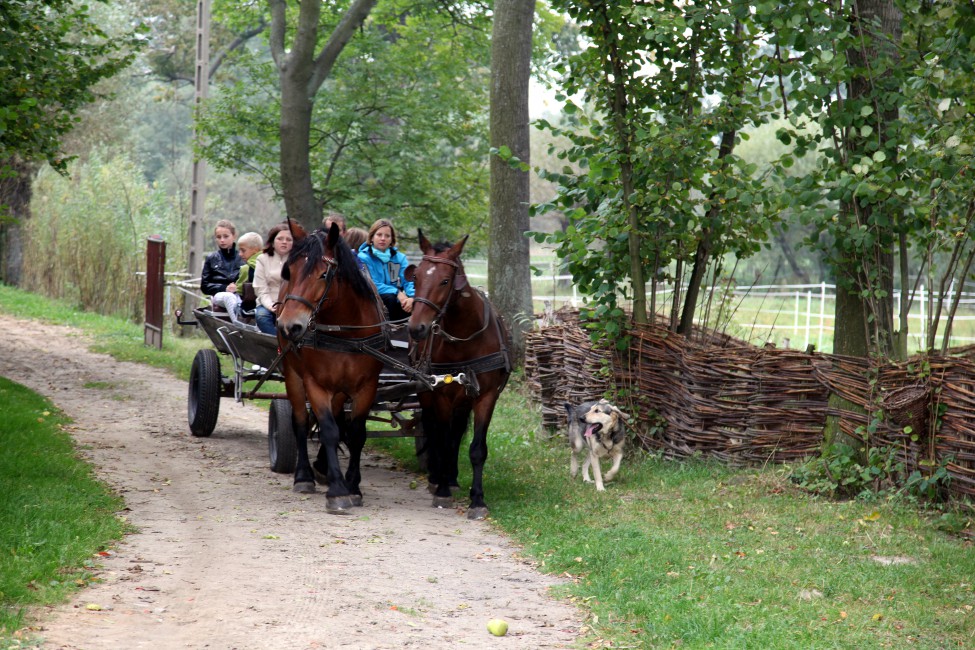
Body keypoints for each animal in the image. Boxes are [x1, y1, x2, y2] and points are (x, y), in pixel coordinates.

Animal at [274, 221, 386, 512]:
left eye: (324, 274)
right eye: (288, 271)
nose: (289, 325)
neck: (345, 331)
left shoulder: (367, 386)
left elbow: (356, 433)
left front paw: (353, 486)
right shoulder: (315, 383)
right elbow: (328, 430)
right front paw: (337, 491)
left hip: (340, 389)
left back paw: (323, 466)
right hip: (292, 372)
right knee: (301, 422)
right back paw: (304, 476)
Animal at [404, 230, 510, 520]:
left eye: (444, 280)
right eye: (416, 277)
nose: (416, 328)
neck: (466, 336)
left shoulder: (486, 396)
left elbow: (476, 449)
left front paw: (477, 500)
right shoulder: (440, 395)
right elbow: (440, 439)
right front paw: (441, 491)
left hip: (464, 399)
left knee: (457, 431)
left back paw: (450, 477)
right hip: (427, 394)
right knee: (434, 430)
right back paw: (437, 477)